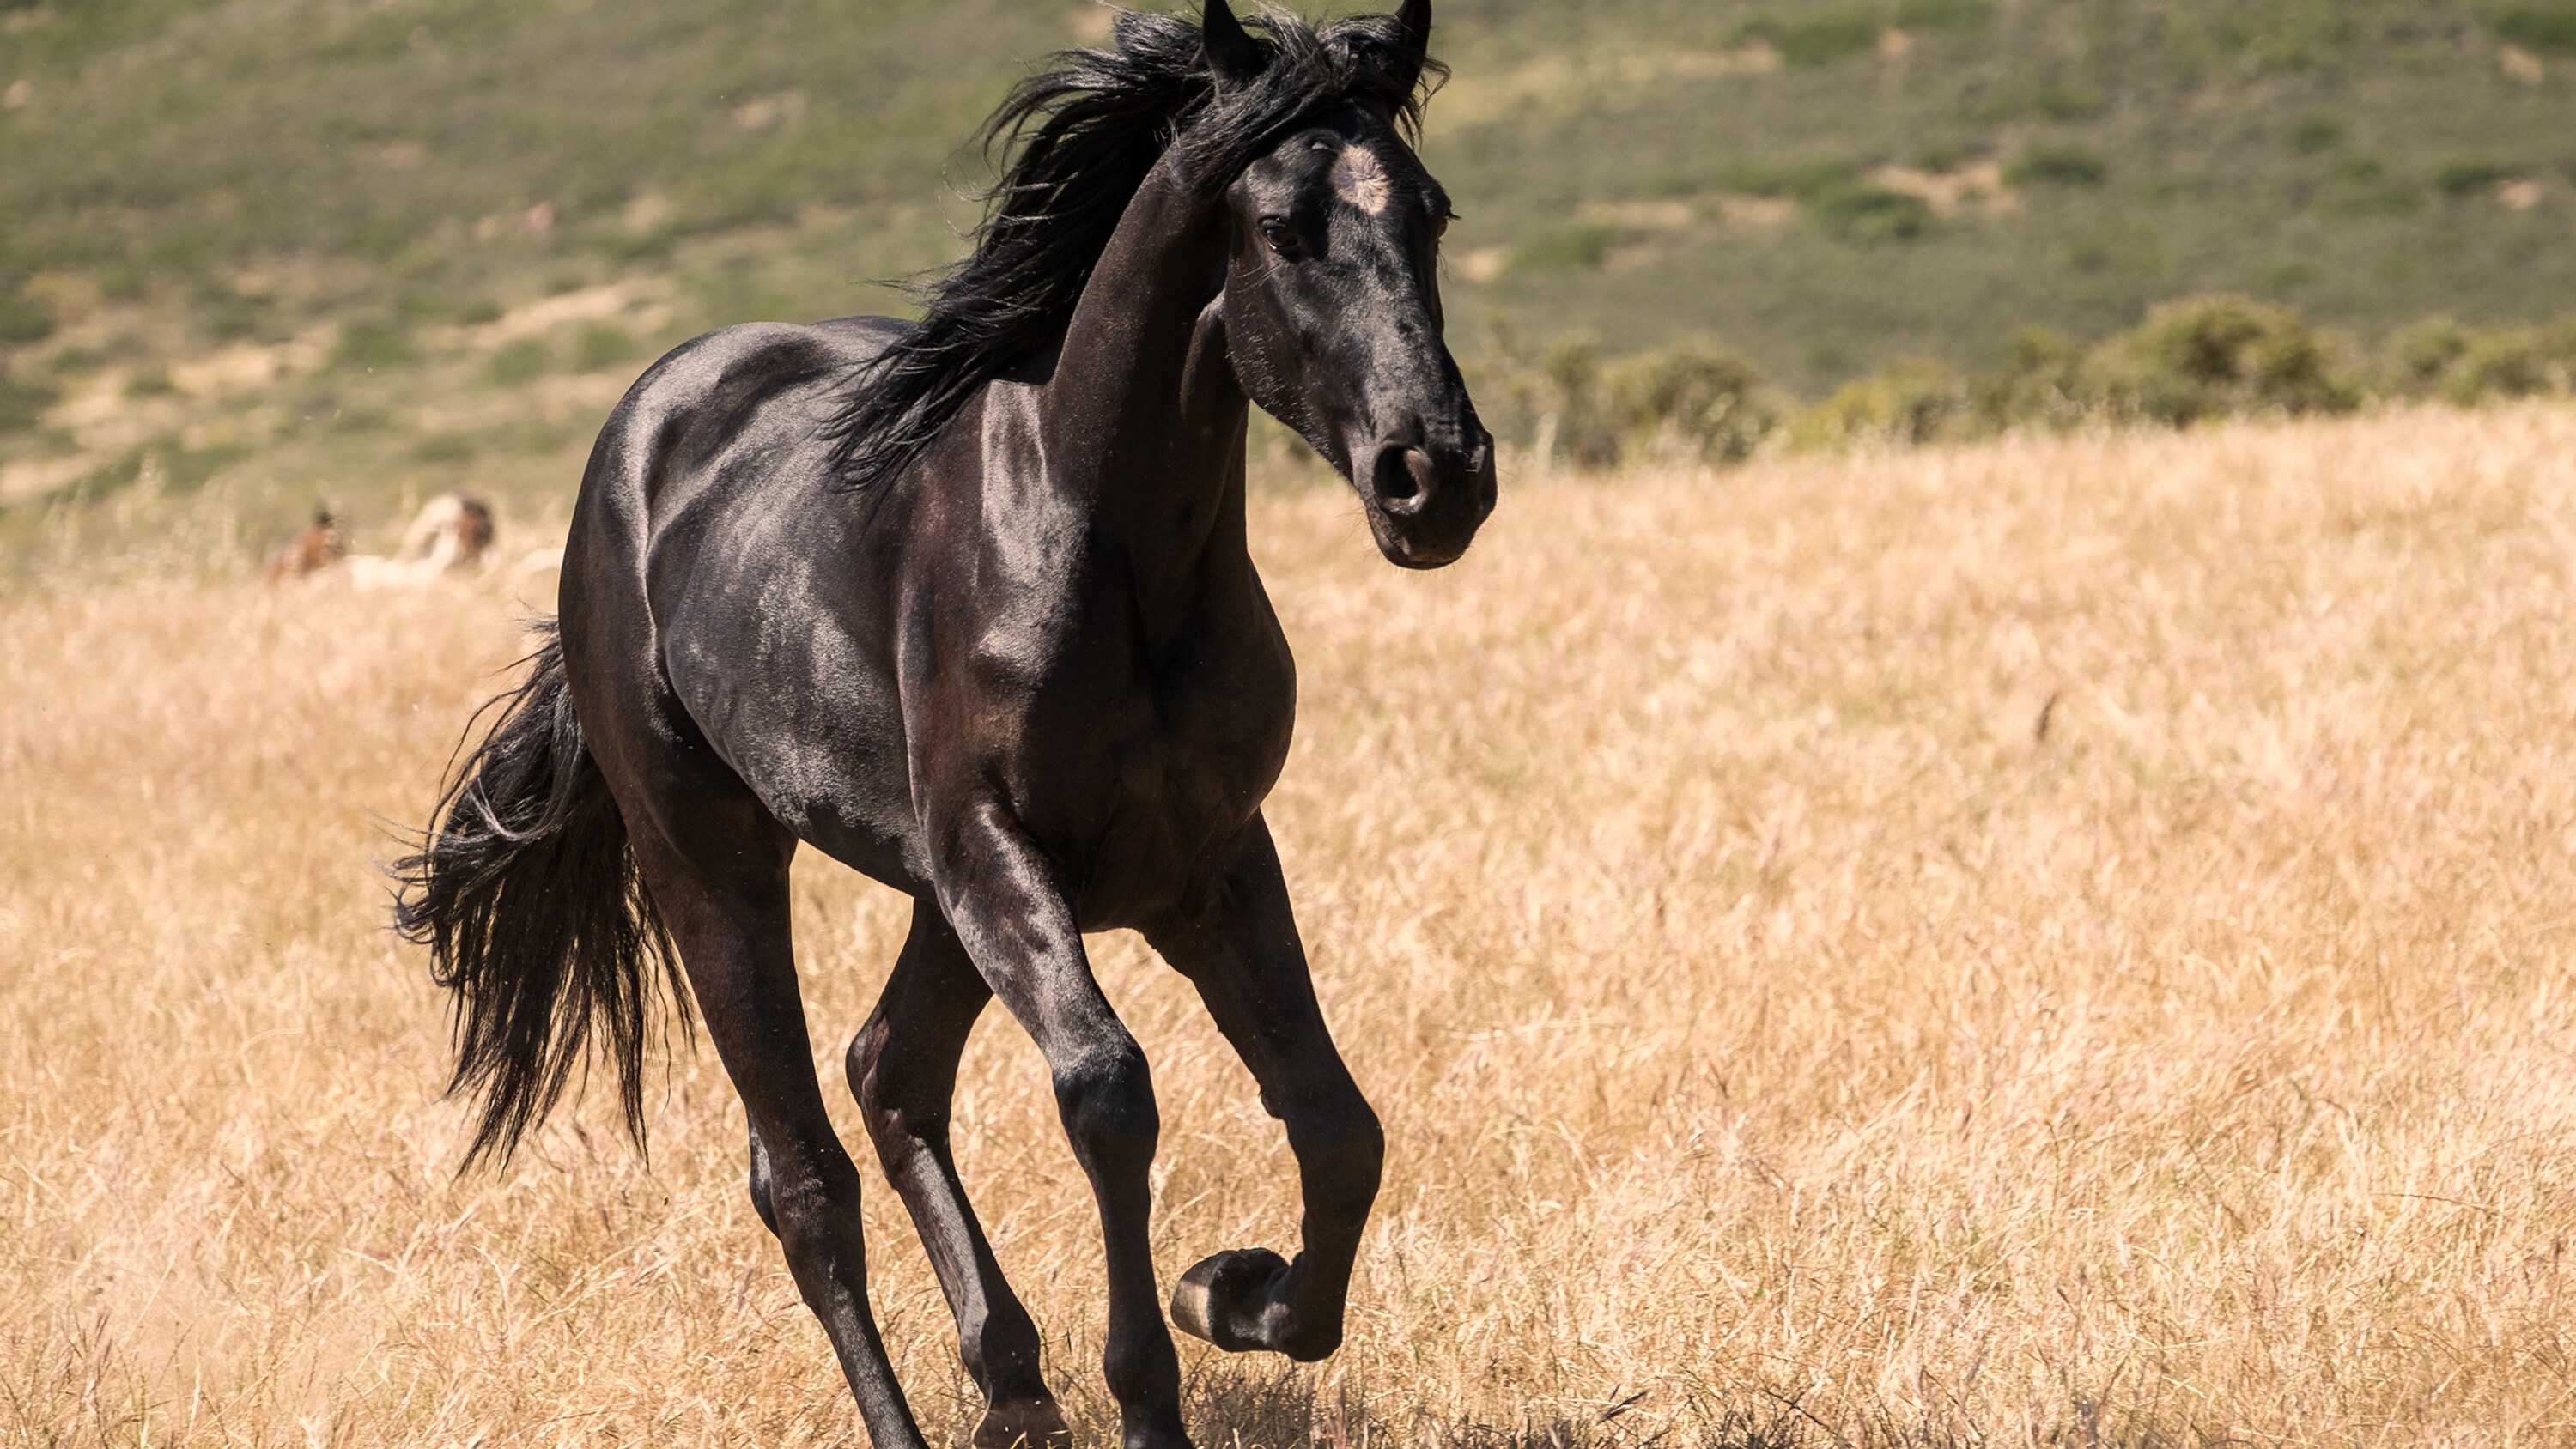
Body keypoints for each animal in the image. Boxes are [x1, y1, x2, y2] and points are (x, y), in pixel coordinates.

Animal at [397, 5, 1494, 1441]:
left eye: (1430, 212)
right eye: (1279, 228)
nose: (1436, 478)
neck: (1102, 555)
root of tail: (638, 441)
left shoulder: (1206, 866)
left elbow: (1334, 1121)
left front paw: (1236, 1295)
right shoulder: (999, 853)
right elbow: (1108, 1093)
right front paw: (1155, 1380)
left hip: (936, 895)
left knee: (887, 1069)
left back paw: (1014, 1379)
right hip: (718, 868)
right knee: (804, 1178)